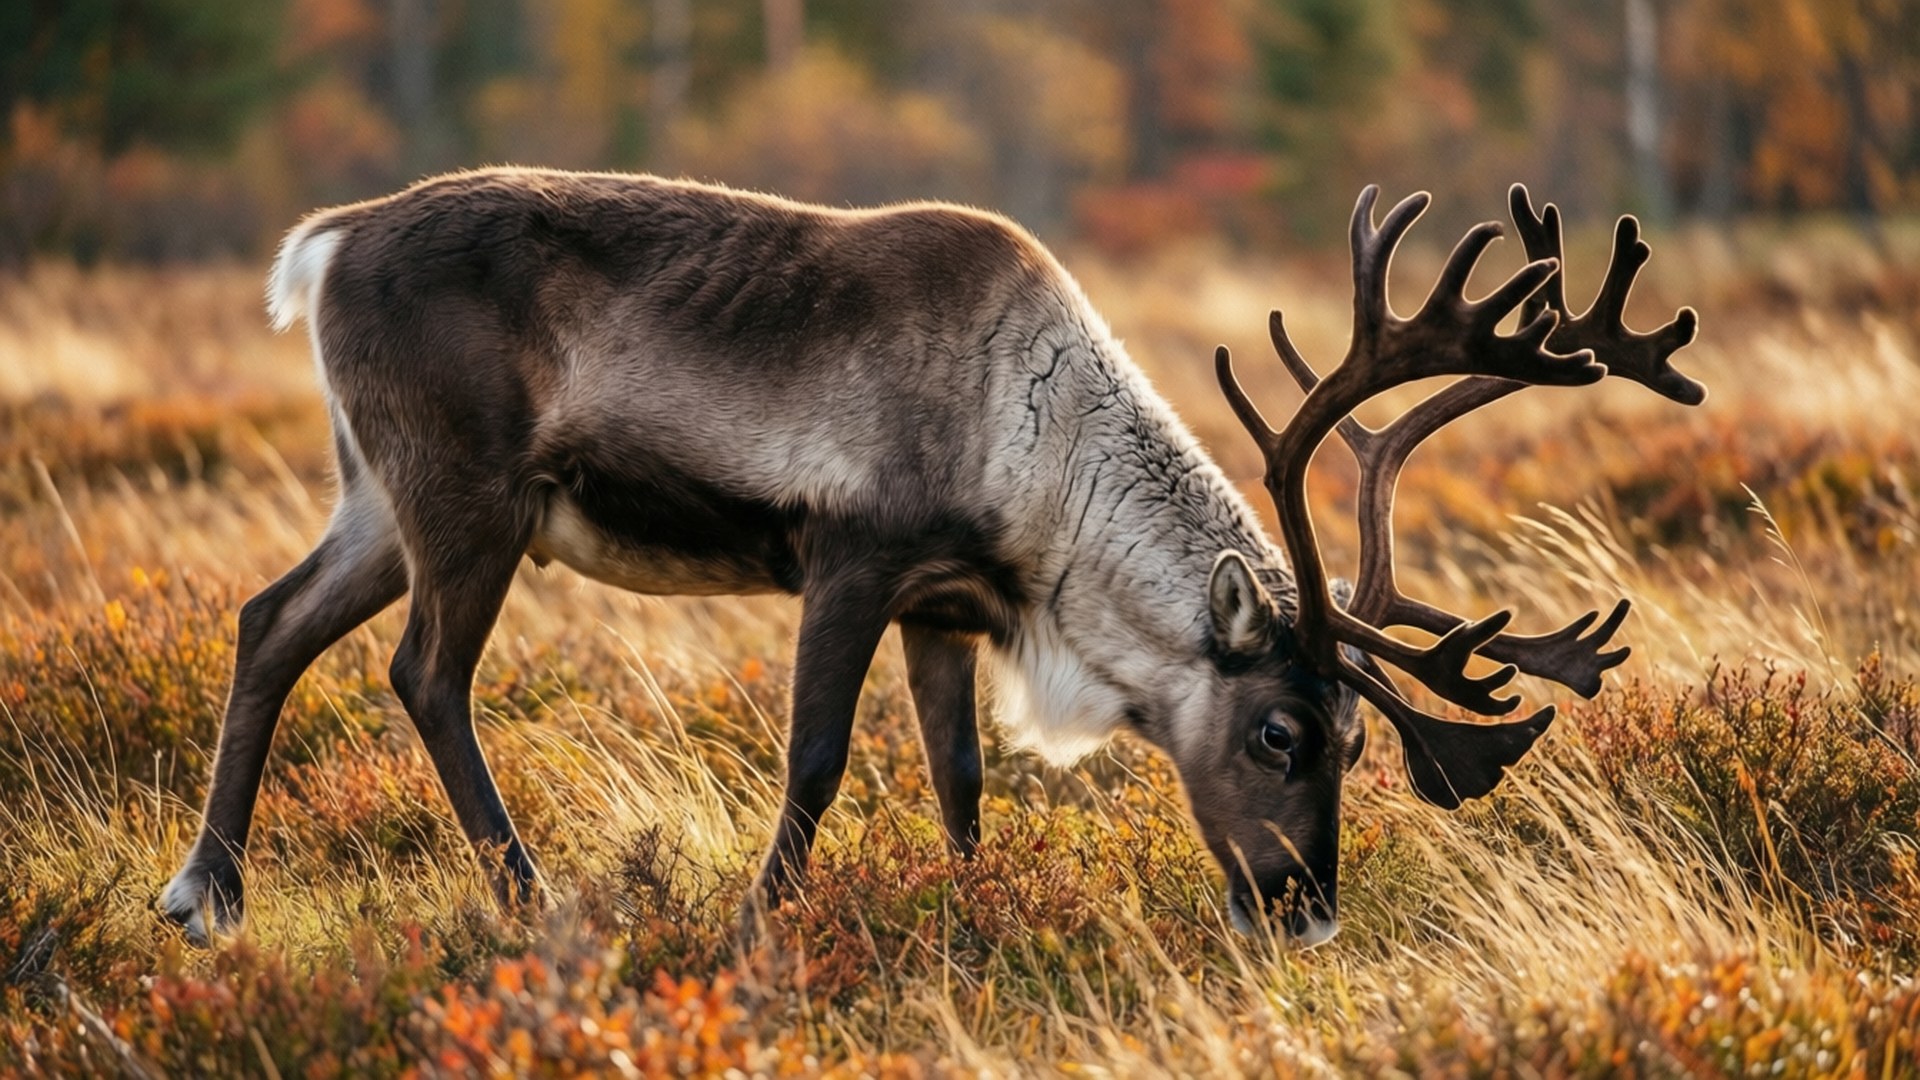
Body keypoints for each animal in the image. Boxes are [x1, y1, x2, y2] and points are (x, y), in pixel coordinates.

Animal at [160, 168, 1701, 947]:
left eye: (1362, 741)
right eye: (1278, 732)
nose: (1304, 912)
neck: (1036, 458)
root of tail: (327, 242)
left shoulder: (948, 609)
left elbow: (959, 779)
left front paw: (971, 910)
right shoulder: (853, 556)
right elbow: (818, 758)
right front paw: (758, 928)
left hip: (379, 499)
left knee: (268, 622)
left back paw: (207, 895)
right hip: (468, 497)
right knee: (425, 676)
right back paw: (530, 900)